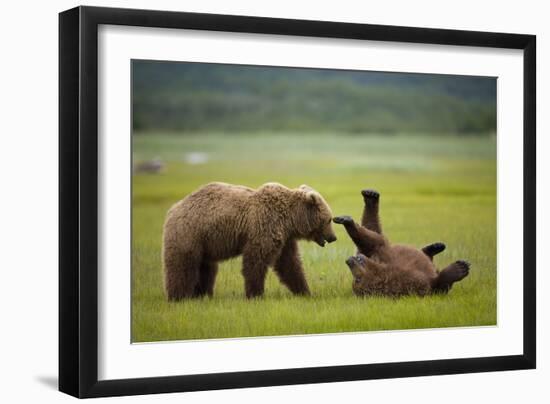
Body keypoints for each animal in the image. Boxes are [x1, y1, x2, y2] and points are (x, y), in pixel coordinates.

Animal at [162, 181, 338, 298]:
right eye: (329, 219)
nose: (333, 237)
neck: (290, 219)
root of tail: (173, 209)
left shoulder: (285, 237)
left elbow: (289, 263)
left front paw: (304, 291)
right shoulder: (265, 226)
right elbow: (256, 260)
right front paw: (255, 294)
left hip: (205, 242)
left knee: (206, 268)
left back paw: (202, 294)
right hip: (189, 234)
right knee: (183, 265)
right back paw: (179, 296)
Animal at [334, 189, 472, 296]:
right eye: (357, 279)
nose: (350, 259)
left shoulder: (381, 256)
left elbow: (372, 239)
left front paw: (345, 219)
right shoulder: (410, 283)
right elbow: (438, 286)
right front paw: (460, 268)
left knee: (372, 232)